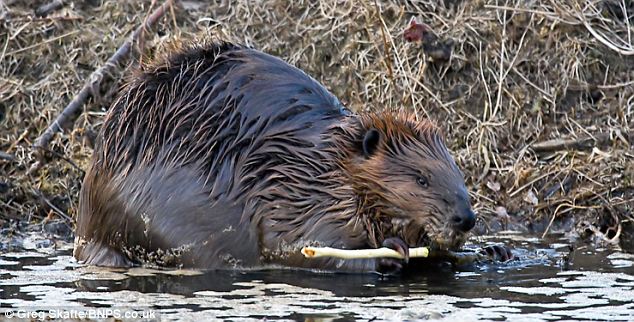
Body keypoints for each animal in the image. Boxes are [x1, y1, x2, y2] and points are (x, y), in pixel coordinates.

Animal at [73, 39, 478, 272]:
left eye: (459, 176)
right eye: (421, 178)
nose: (466, 218)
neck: (321, 164)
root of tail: (87, 233)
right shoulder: (295, 198)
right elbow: (299, 246)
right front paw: (392, 249)